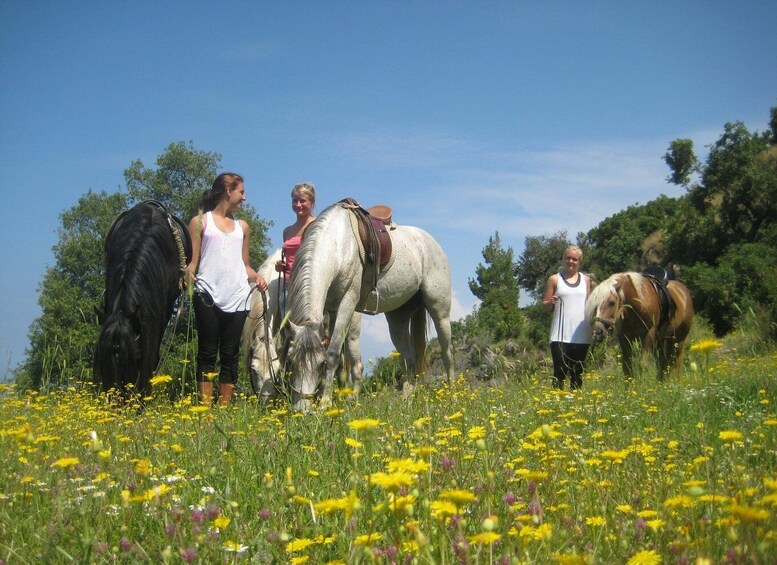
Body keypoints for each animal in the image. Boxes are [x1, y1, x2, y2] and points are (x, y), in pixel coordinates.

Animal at [284, 198, 454, 410]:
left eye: (319, 363)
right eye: (291, 362)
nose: (302, 410)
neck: (338, 245)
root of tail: (430, 242)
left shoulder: (347, 303)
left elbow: (333, 354)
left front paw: (324, 405)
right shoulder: (330, 310)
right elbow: (341, 360)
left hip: (440, 312)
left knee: (447, 352)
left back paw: (453, 396)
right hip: (397, 320)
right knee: (409, 357)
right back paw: (407, 400)